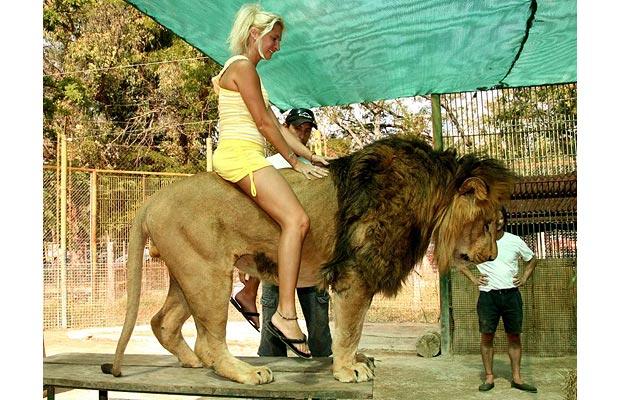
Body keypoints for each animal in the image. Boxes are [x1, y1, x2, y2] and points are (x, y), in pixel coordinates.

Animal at [101, 136, 514, 385]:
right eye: (489, 223)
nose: (492, 255)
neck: (430, 200)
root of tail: (151, 200)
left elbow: (352, 328)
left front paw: (355, 363)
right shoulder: (355, 274)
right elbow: (349, 329)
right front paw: (347, 370)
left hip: (187, 274)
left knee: (163, 322)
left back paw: (190, 363)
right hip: (207, 273)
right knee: (206, 340)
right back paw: (245, 373)